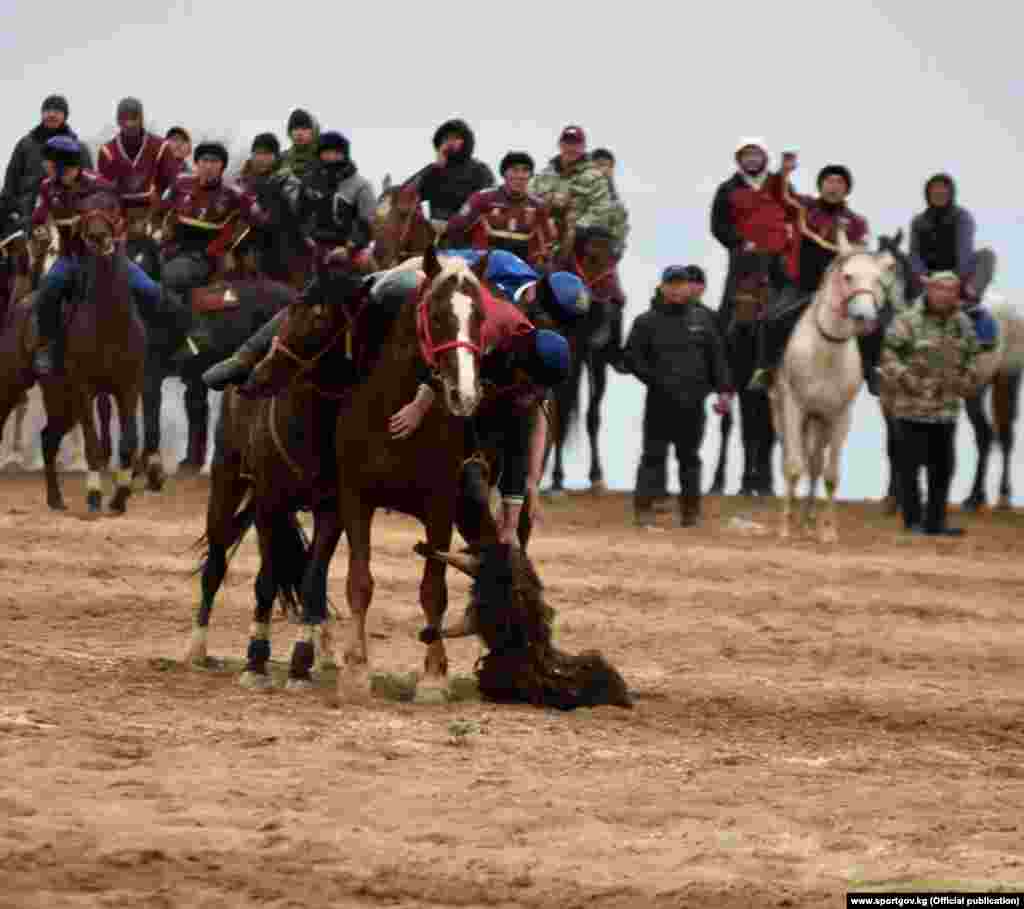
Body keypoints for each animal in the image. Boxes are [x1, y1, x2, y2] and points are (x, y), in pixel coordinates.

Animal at [0, 192, 146, 513]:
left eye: (112, 208)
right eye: (85, 211)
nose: (98, 237)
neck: (109, 320)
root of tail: (21, 304)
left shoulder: (128, 387)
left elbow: (128, 444)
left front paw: (120, 496)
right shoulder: (84, 388)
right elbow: (92, 444)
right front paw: (93, 495)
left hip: (60, 398)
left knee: (48, 438)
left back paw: (55, 499)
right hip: (15, 383)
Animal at [544, 227, 622, 497]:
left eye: (617, 257)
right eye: (592, 256)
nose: (618, 300)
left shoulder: (596, 361)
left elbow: (592, 418)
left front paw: (597, 477)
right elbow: (561, 415)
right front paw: (557, 480)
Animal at [770, 236, 888, 548]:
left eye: (878, 279)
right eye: (847, 276)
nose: (865, 318)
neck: (825, 352)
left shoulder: (839, 415)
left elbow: (831, 475)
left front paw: (828, 531)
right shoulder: (794, 407)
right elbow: (793, 466)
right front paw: (785, 528)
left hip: (819, 422)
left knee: (815, 464)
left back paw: (809, 521)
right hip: (785, 414)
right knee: (791, 460)